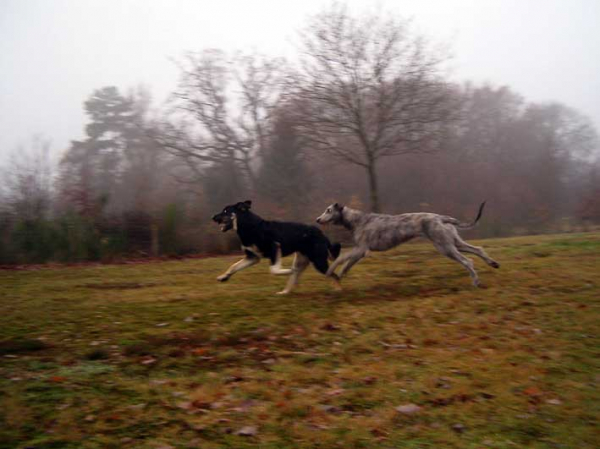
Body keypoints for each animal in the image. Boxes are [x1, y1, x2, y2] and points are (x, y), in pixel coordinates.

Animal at [211, 200, 342, 294]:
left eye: (225, 211)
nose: (213, 217)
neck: (250, 228)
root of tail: (322, 235)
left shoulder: (274, 248)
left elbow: (274, 270)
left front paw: (287, 271)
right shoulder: (252, 257)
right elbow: (233, 266)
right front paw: (223, 277)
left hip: (318, 261)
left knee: (334, 275)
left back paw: (338, 290)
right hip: (301, 260)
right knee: (294, 277)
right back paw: (284, 292)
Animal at [316, 201, 500, 286]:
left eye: (328, 210)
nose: (317, 219)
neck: (357, 220)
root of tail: (441, 217)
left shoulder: (361, 249)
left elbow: (342, 258)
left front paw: (331, 271)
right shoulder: (360, 252)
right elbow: (347, 264)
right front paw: (339, 275)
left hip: (445, 247)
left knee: (468, 261)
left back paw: (475, 281)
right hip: (454, 242)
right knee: (478, 249)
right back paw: (493, 263)